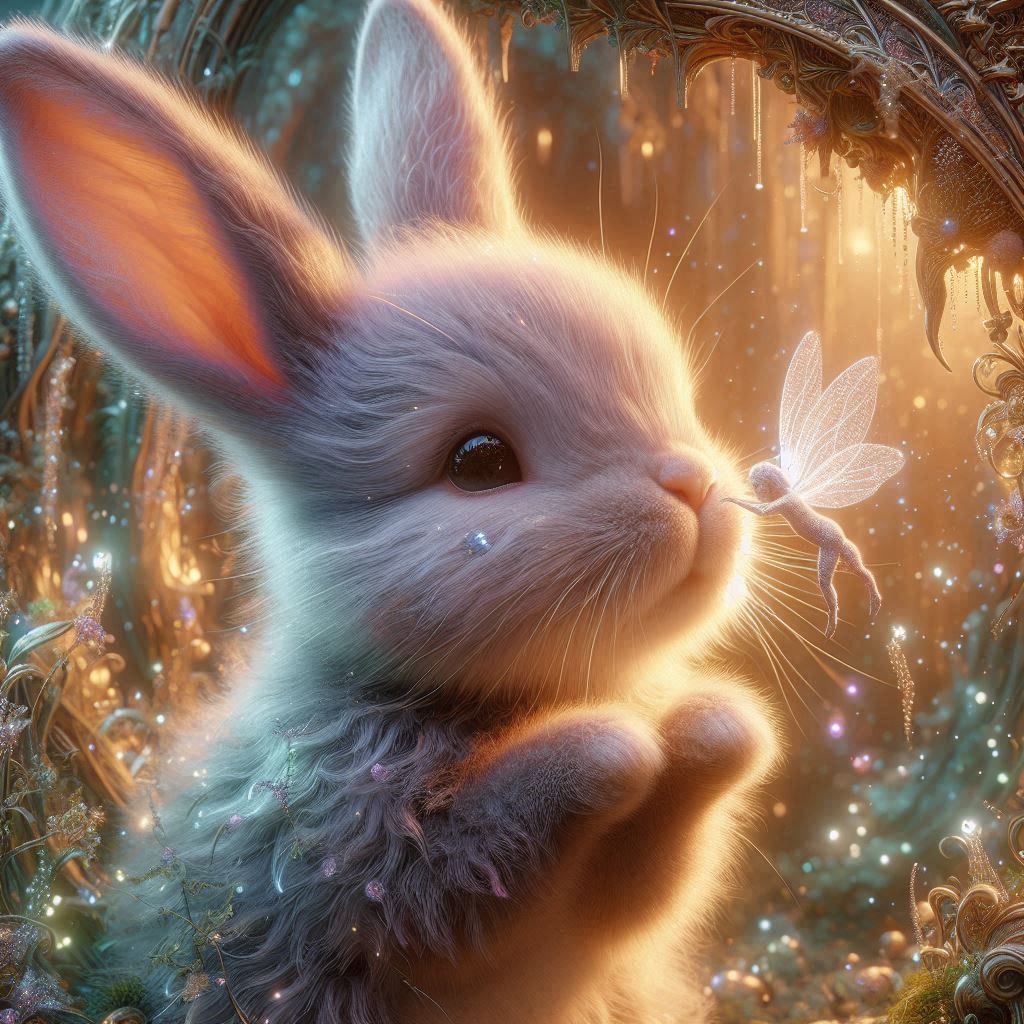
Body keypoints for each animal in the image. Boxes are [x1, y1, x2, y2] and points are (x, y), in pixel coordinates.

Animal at [0, 2, 779, 1022]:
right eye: (479, 462)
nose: (690, 486)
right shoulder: (369, 867)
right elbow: (494, 855)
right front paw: (607, 748)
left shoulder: (625, 904)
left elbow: (655, 871)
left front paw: (716, 726)